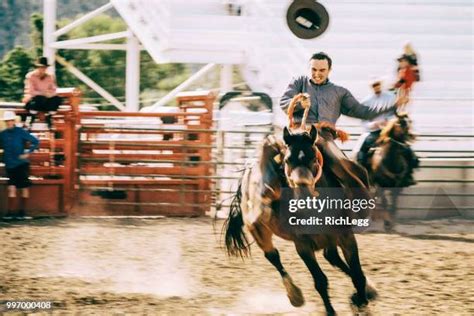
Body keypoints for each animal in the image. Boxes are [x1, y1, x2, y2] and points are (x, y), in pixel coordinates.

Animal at [224, 124, 376, 314]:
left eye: (314, 158)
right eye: (287, 160)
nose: (303, 193)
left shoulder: (346, 236)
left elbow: (357, 274)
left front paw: (361, 300)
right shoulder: (302, 245)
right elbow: (320, 281)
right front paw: (331, 310)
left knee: (332, 256)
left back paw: (369, 290)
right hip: (259, 230)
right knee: (274, 257)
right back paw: (294, 295)